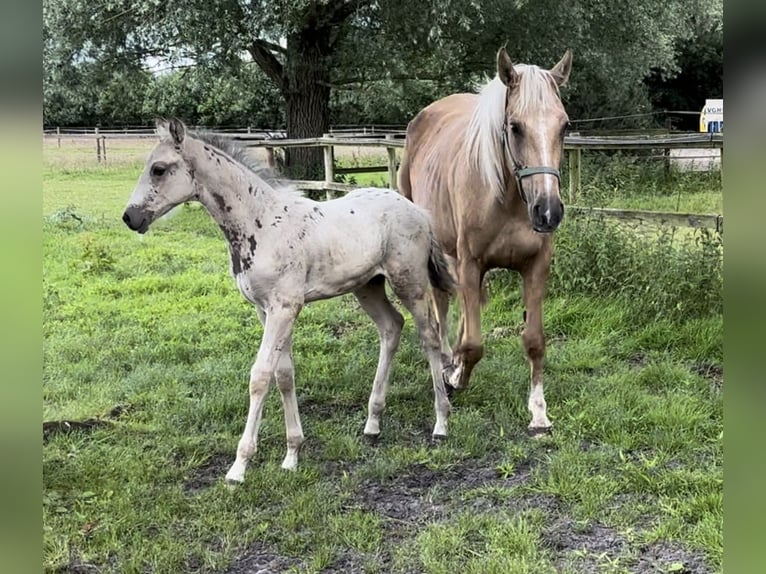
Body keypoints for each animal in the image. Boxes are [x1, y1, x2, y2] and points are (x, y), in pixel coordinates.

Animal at [121, 119, 456, 484]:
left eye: (158, 169)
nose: (130, 218)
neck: (261, 225)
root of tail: (418, 209)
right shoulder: (265, 309)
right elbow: (284, 374)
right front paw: (292, 453)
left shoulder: (284, 307)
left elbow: (260, 375)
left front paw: (239, 466)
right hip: (367, 286)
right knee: (391, 327)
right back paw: (373, 423)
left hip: (410, 282)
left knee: (430, 336)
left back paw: (441, 423)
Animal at [402, 49, 568, 436]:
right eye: (515, 126)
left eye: (564, 126)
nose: (548, 211)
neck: (507, 199)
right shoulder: (470, 262)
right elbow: (475, 344)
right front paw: (456, 376)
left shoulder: (535, 266)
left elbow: (534, 341)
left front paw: (538, 413)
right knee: (441, 303)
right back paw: (445, 360)